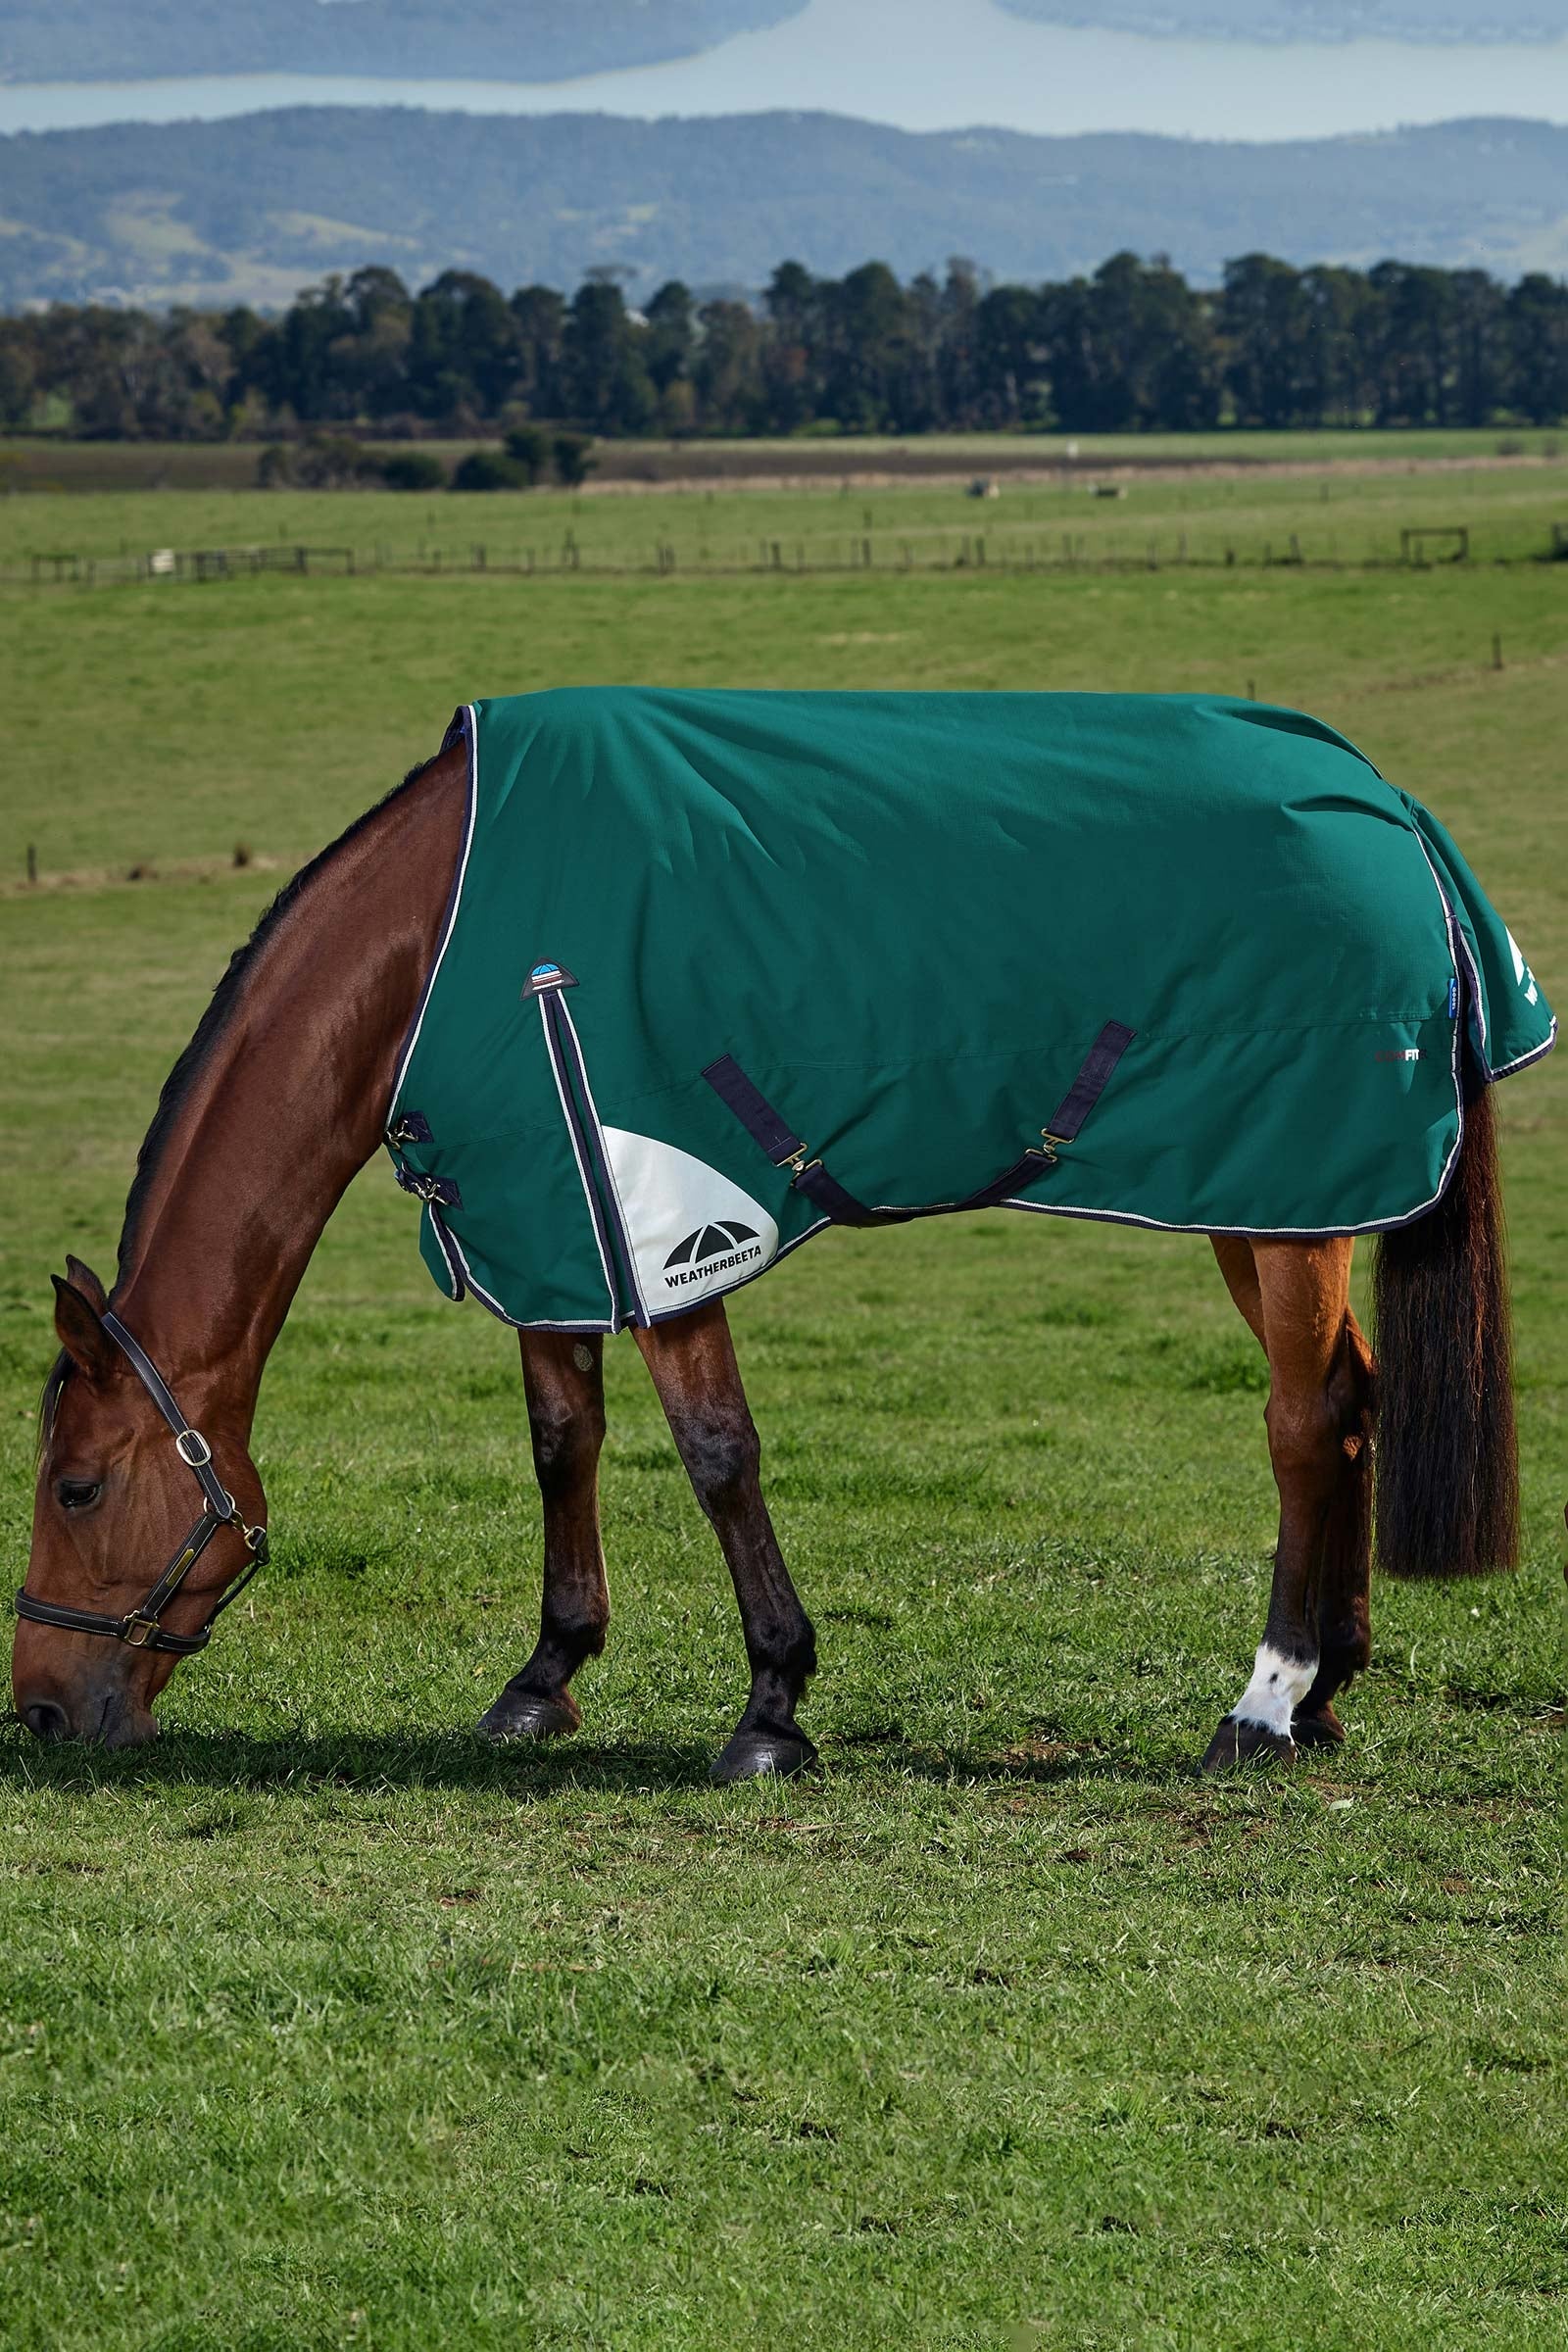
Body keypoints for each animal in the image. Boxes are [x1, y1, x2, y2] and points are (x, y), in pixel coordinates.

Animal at [12, 722, 1526, 1775]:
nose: (37, 1711)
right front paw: (545, 1675)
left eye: (77, 1488)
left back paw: (1262, 1702)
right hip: (1270, 1202)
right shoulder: (553, 1223)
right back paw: (1329, 1690)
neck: (446, 931)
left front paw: (771, 1703)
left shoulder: (667, 1222)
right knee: (1355, 1398)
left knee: (1303, 1419)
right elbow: (562, 1440)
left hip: (1281, 1202)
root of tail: (1390, 809)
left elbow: (716, 1454)